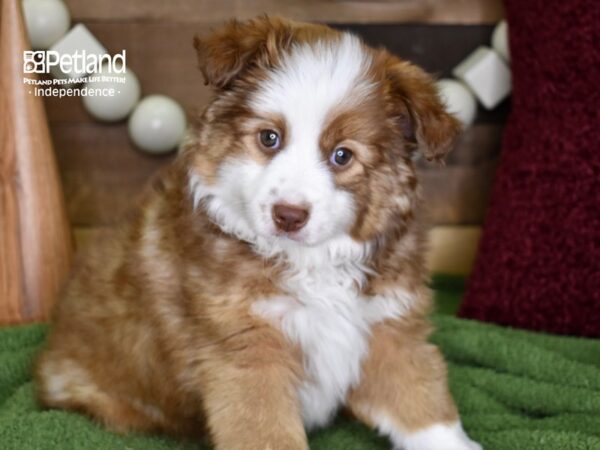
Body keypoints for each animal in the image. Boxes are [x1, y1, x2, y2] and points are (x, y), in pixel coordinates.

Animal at [34, 15, 482, 448]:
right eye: (270, 138)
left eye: (342, 156)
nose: (289, 215)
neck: (313, 264)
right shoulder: (248, 352)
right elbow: (267, 434)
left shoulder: (389, 326)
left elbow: (424, 407)